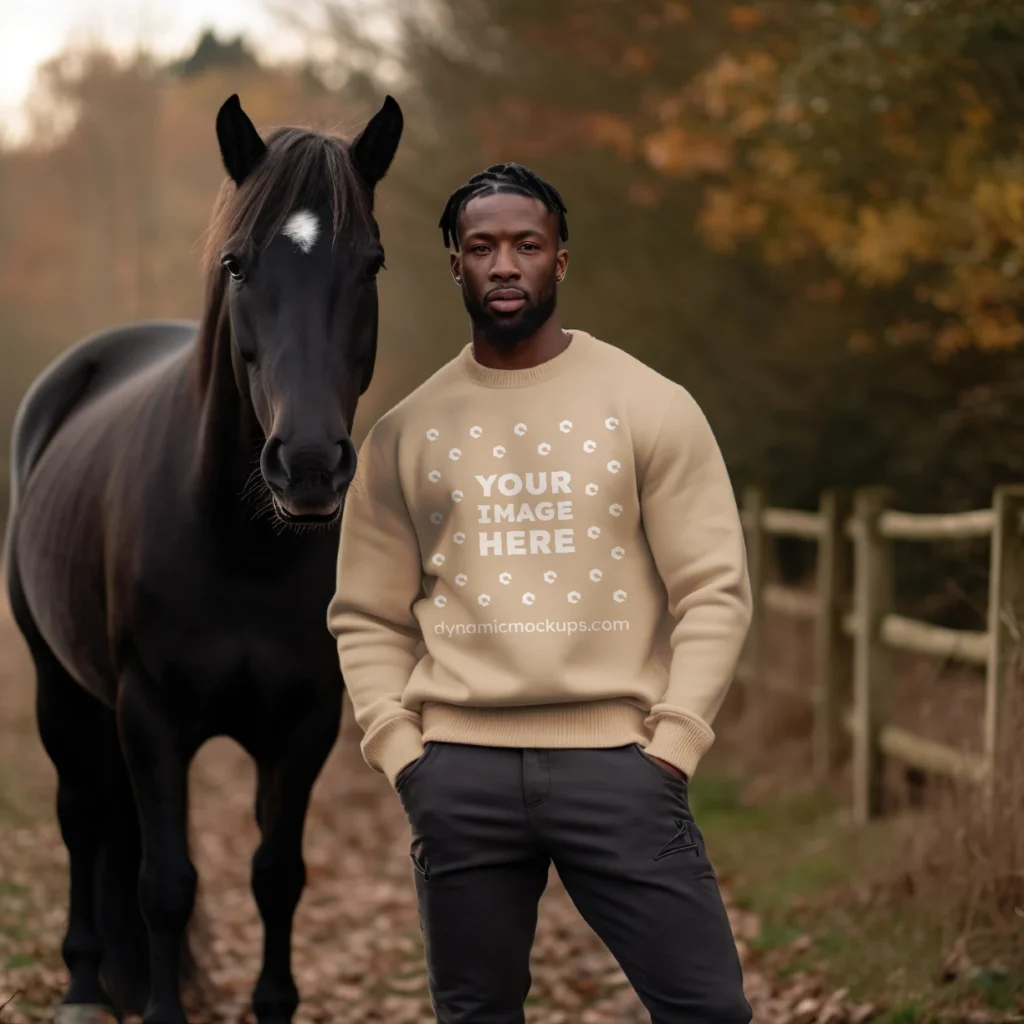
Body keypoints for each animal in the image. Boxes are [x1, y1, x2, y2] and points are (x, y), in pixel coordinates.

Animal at [4, 92, 403, 1019]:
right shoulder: (151, 717)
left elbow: (277, 877)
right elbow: (166, 885)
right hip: (59, 689)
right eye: (237, 264)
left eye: (371, 264)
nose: (308, 464)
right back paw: (84, 984)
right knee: (83, 817)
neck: (238, 546)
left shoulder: (304, 725)